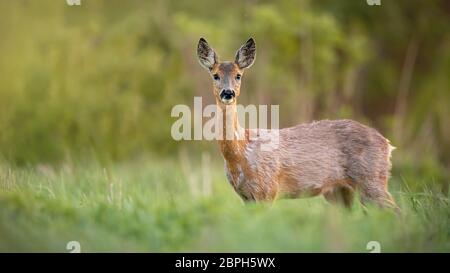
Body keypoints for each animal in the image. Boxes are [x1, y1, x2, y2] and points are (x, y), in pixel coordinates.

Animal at [196, 37, 398, 209]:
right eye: (215, 75)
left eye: (238, 75)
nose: (227, 93)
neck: (240, 151)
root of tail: (387, 144)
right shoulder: (246, 197)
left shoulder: (267, 190)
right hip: (339, 192)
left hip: (371, 179)